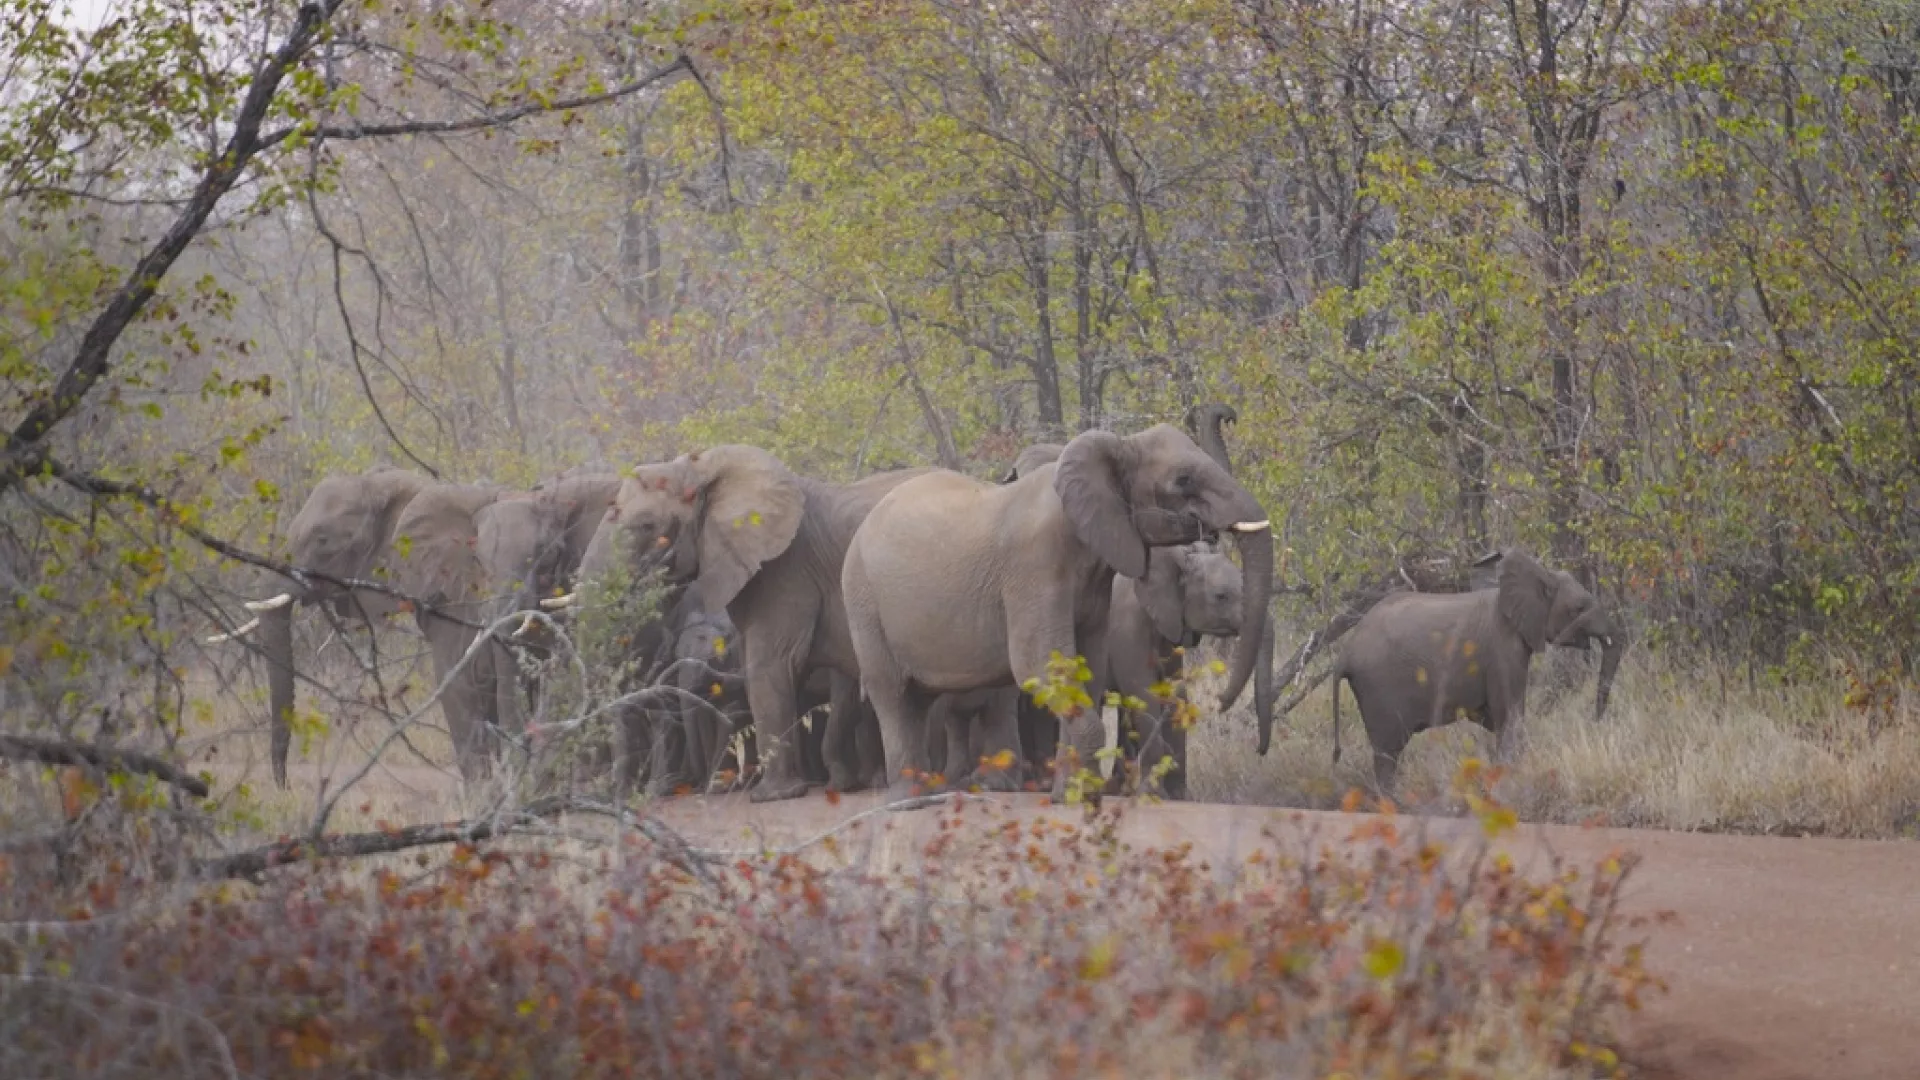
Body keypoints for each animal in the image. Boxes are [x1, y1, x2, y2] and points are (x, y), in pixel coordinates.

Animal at [560, 445, 925, 799]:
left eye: (647, 525)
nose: (695, 787)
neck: (704, 467)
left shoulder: (788, 569)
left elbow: (770, 666)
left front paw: (774, 795)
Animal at [844, 420, 1274, 799]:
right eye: (1183, 480)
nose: (1221, 703)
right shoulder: (1034, 567)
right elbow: (1042, 667)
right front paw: (1083, 796)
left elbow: (1087, 670)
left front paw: (1073, 794)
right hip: (862, 600)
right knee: (893, 693)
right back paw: (909, 799)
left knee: (920, 699)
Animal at [1336, 541, 1620, 787]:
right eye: (1579, 608)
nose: (1594, 721)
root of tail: (1346, 652)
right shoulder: (1503, 649)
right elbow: (1510, 716)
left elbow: (1496, 719)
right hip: (1379, 688)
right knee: (1388, 753)